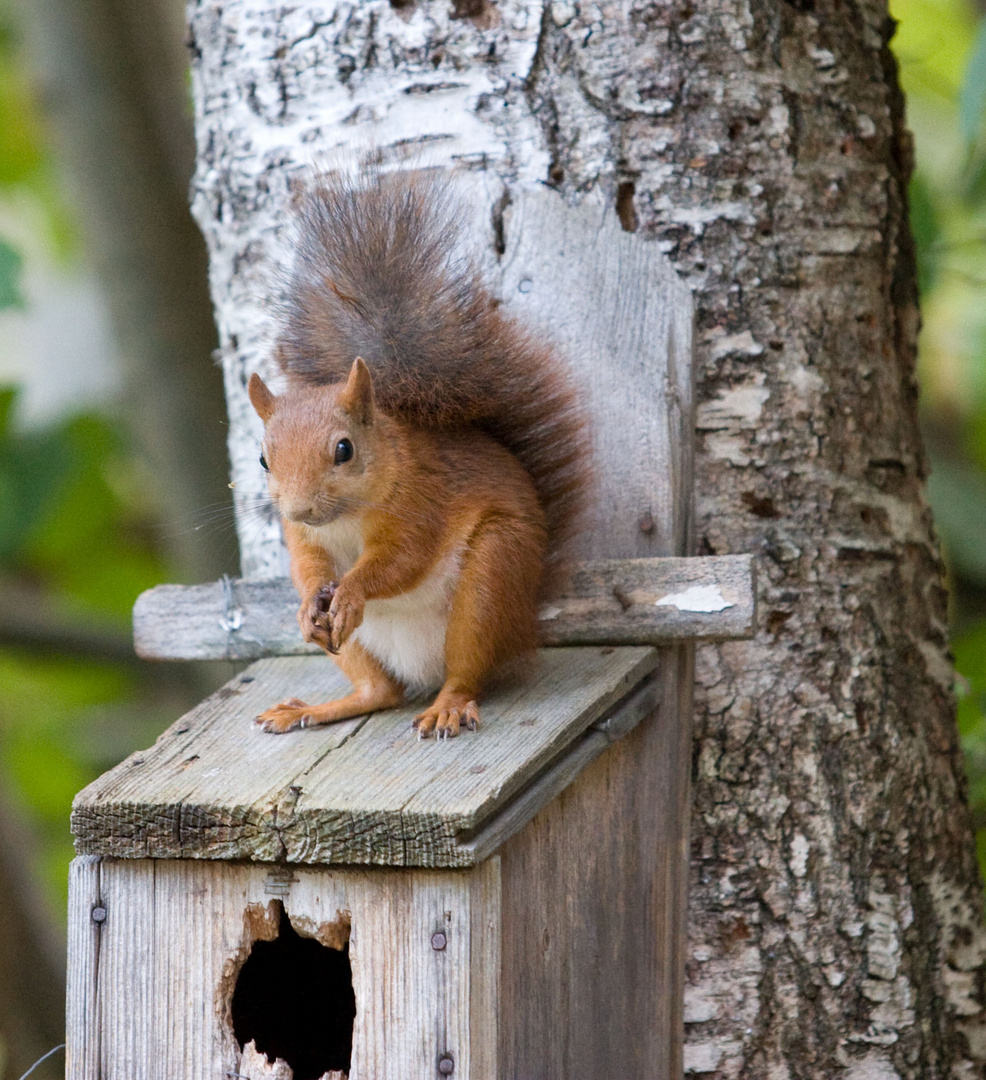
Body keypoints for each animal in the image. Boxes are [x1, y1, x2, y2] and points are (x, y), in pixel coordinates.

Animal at [250, 172, 587, 738]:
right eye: (263, 460)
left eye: (344, 449)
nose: (298, 508)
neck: (346, 519)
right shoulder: (305, 538)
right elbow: (308, 566)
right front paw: (308, 602)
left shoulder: (421, 502)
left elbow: (400, 561)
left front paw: (353, 591)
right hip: (359, 648)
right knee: (379, 692)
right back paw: (314, 708)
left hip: (490, 582)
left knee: (465, 672)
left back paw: (447, 706)